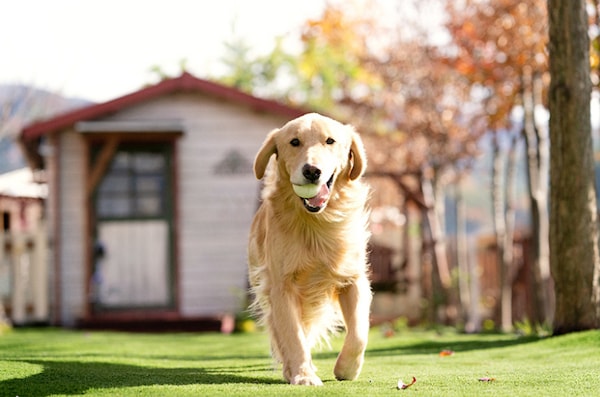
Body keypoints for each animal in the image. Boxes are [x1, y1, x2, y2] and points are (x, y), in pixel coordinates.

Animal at [247, 111, 370, 384]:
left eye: (330, 141)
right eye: (294, 142)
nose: (312, 171)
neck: (315, 223)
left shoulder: (353, 278)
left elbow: (359, 333)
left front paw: (346, 369)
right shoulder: (282, 287)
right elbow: (293, 337)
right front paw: (303, 375)